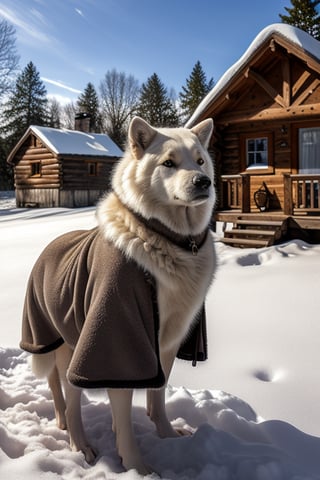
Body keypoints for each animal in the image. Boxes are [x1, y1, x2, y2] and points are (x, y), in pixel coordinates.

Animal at [20, 115, 218, 472]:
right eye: (169, 163)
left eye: (200, 161)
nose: (203, 182)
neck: (166, 238)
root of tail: (52, 243)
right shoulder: (116, 341)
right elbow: (124, 413)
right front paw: (138, 466)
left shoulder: (165, 344)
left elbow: (157, 394)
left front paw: (167, 434)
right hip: (64, 344)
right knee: (66, 393)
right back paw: (78, 442)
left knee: (61, 387)